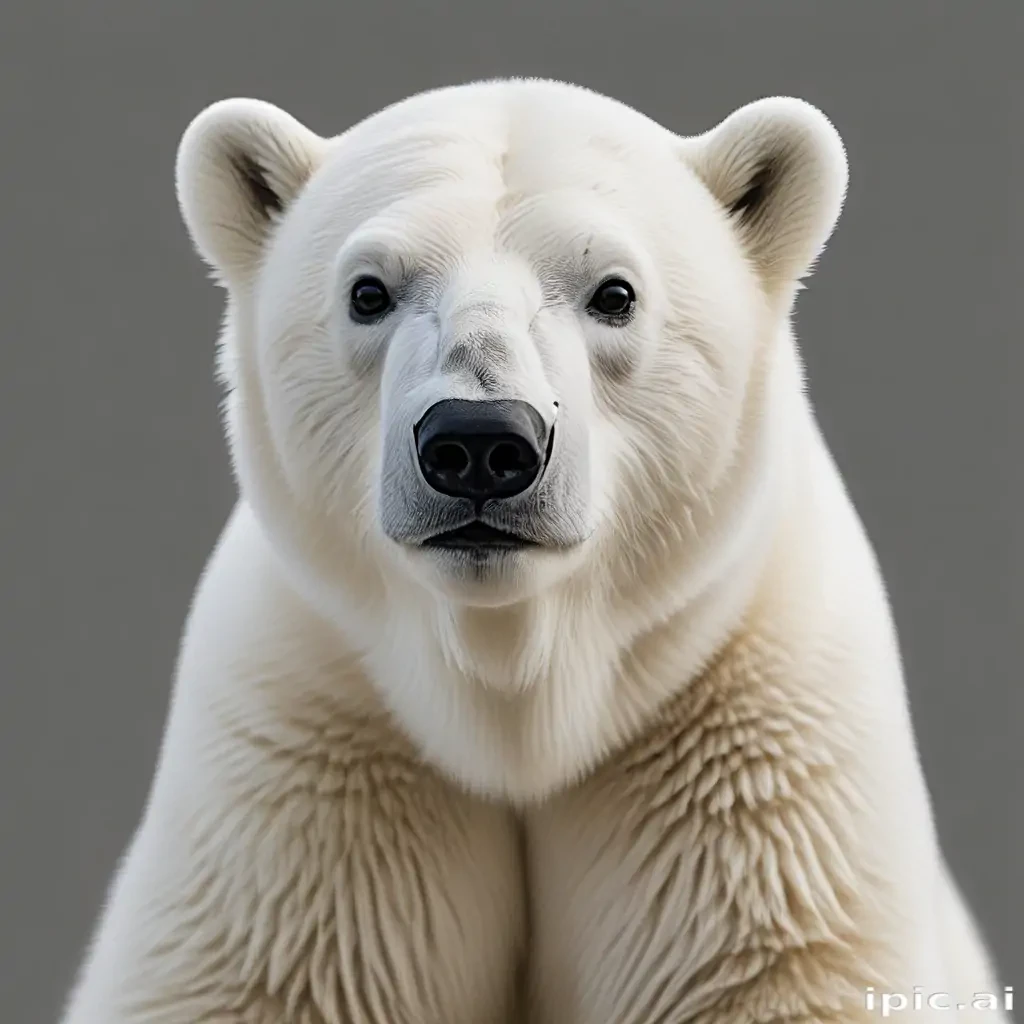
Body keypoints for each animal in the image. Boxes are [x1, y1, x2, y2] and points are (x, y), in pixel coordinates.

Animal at [59, 78, 1006, 1024]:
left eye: (615, 292)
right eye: (368, 290)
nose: (480, 442)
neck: (511, 703)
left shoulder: (754, 757)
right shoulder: (307, 757)